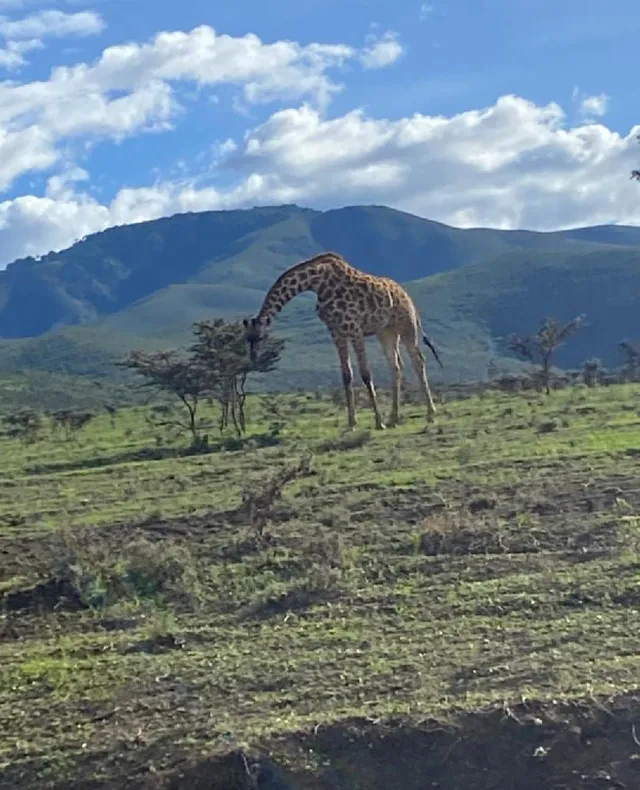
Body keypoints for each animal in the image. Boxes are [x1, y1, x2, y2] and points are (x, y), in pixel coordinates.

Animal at [242, 252, 442, 426]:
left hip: (407, 327)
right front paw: (352, 422)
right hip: (385, 332)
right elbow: (347, 375)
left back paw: (430, 414)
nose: (253, 360)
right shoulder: (336, 332)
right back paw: (394, 417)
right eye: (246, 339)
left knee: (418, 361)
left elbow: (365, 373)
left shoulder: (355, 329)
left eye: (258, 337)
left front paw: (379, 422)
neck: (317, 283)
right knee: (397, 365)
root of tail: (407, 296)